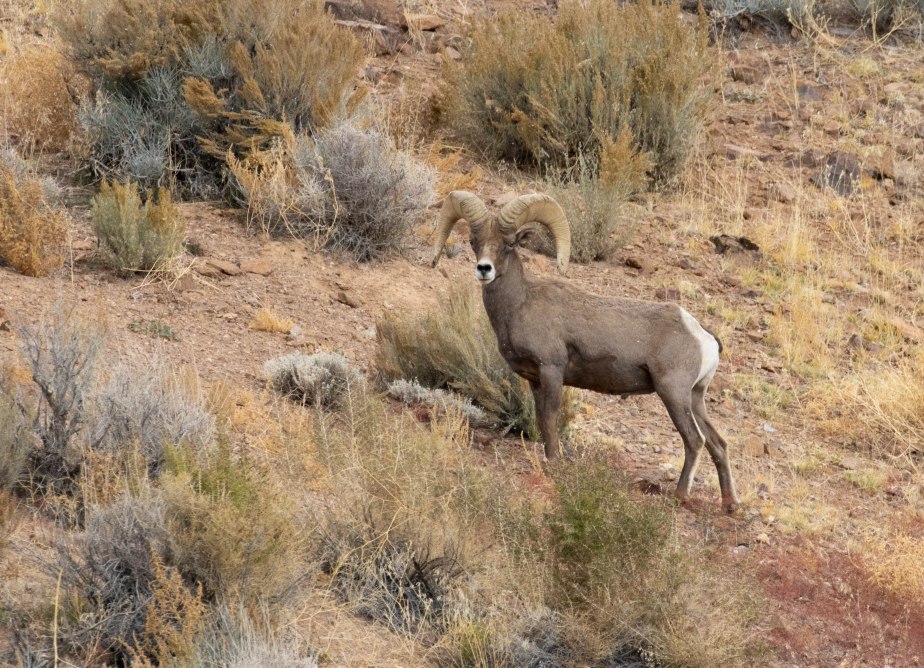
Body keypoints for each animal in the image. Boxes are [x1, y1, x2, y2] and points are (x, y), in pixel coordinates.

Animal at [431, 191, 741, 513]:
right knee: (718, 443)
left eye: (510, 243)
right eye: (474, 242)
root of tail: (703, 337)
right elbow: (540, 419)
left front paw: (554, 463)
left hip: (673, 393)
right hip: (695, 397)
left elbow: (550, 418)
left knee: (694, 440)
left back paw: (680, 495)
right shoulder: (534, 380)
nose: (484, 269)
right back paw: (730, 504)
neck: (520, 305)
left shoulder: (551, 370)